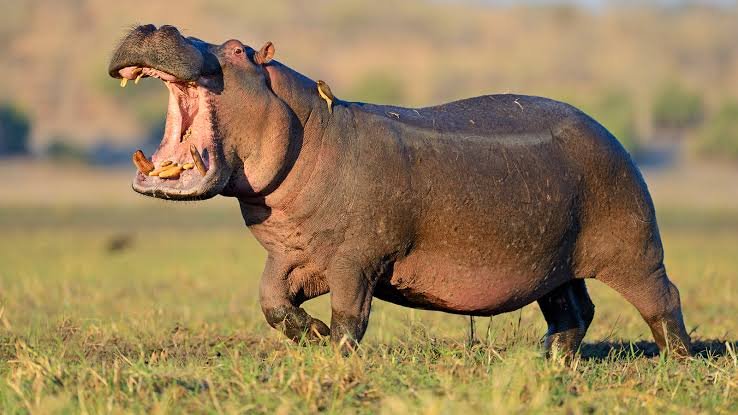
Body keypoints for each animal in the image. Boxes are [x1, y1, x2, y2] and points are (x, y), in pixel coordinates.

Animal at [109, 25, 691, 356]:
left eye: (237, 49)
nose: (157, 22)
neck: (309, 125)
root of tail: (610, 133)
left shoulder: (355, 258)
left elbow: (351, 315)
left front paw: (338, 355)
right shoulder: (290, 254)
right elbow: (271, 302)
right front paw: (312, 336)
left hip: (636, 247)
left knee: (663, 299)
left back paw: (678, 360)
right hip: (554, 260)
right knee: (574, 310)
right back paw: (547, 360)